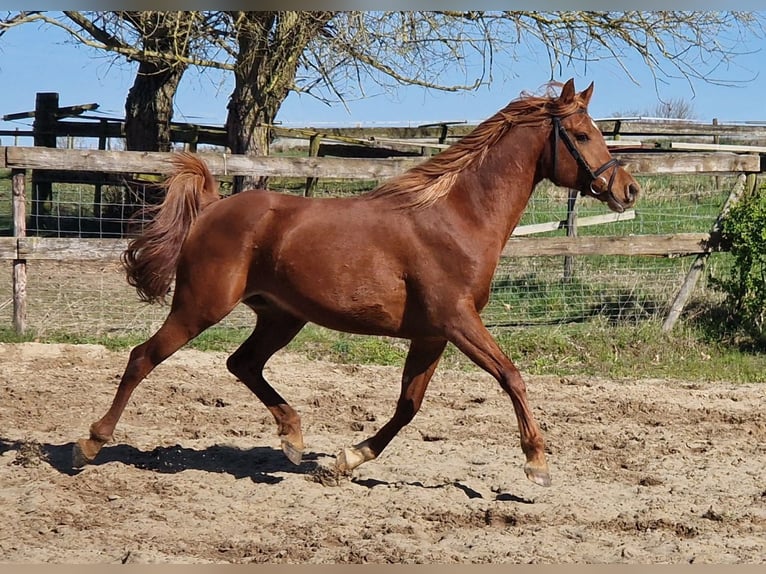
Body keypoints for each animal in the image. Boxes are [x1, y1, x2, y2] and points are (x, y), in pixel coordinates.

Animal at [73, 79, 640, 487]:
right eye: (583, 136)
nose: (629, 189)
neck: (457, 217)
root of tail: (212, 207)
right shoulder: (457, 320)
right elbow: (511, 377)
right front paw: (537, 463)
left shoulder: (432, 334)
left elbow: (408, 406)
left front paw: (345, 460)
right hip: (200, 306)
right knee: (143, 358)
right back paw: (90, 443)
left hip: (281, 315)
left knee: (243, 363)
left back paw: (294, 440)